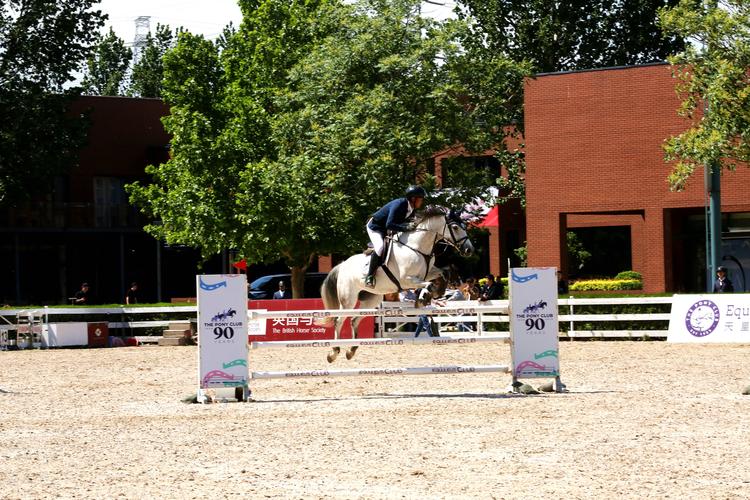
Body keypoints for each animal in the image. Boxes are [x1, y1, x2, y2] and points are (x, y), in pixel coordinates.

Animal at [318, 206, 474, 362]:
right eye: (455, 227)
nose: (469, 250)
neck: (417, 247)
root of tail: (342, 265)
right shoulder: (406, 280)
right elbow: (428, 285)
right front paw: (423, 299)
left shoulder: (428, 273)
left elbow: (443, 273)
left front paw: (434, 294)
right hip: (348, 300)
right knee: (339, 320)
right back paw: (334, 352)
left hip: (371, 299)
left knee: (354, 320)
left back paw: (352, 349)